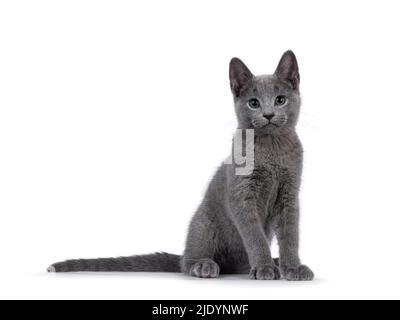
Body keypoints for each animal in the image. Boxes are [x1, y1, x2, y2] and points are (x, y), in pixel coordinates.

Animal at [48, 50, 314, 280]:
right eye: (254, 103)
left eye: (280, 100)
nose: (268, 114)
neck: (273, 150)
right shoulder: (242, 195)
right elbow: (255, 236)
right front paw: (264, 268)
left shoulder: (290, 194)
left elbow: (291, 235)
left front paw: (293, 267)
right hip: (204, 223)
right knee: (187, 261)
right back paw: (206, 266)